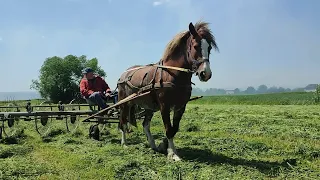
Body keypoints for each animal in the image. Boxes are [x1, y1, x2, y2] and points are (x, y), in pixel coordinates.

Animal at [116, 20, 219, 161]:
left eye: (209, 48)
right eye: (196, 46)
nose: (206, 73)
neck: (172, 73)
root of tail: (123, 74)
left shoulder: (180, 106)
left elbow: (174, 129)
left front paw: (163, 145)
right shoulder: (164, 106)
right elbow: (168, 128)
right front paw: (173, 154)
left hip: (148, 107)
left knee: (145, 125)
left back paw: (153, 145)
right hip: (124, 104)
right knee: (123, 122)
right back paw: (124, 143)